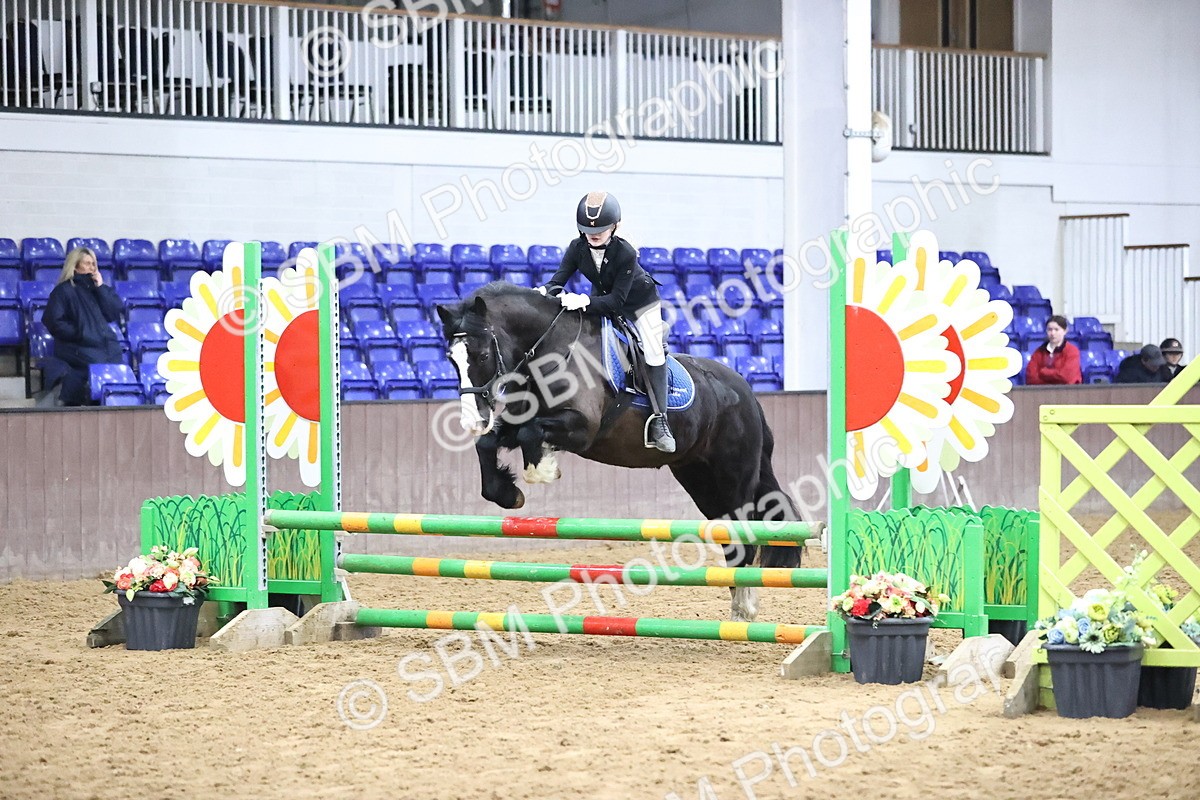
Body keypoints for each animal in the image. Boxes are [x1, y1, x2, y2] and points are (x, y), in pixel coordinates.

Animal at [436, 282, 802, 622]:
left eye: (483, 356)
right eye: (451, 360)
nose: (473, 420)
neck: (550, 350)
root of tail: (746, 392)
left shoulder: (581, 429)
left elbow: (531, 434)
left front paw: (543, 469)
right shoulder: (520, 422)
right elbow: (491, 443)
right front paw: (509, 492)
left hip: (733, 477)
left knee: (745, 533)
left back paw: (745, 609)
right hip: (698, 477)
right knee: (728, 536)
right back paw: (739, 605)